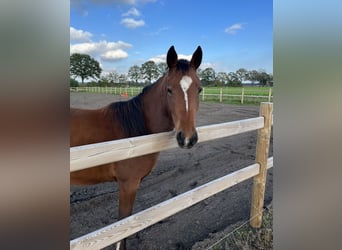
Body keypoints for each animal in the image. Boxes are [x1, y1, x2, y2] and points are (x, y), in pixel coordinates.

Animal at [70, 46, 202, 249]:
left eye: (200, 89)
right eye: (169, 90)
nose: (187, 138)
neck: (135, 130)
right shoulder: (128, 183)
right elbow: (123, 225)